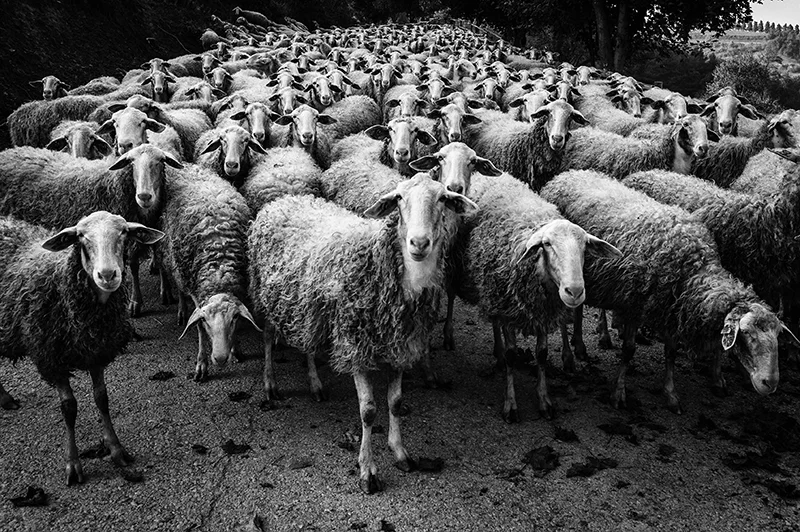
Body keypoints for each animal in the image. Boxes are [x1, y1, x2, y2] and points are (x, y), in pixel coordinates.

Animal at [0, 145, 183, 316]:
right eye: (131, 162)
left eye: (161, 161)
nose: (144, 196)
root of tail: (9, 151)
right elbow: (134, 265)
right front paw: (135, 302)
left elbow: (160, 258)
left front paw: (166, 291)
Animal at [0, 211, 164, 484]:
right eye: (81, 237)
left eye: (123, 232)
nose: (107, 275)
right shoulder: (52, 359)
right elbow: (69, 408)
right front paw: (73, 463)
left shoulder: (95, 352)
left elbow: (102, 398)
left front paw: (116, 449)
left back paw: (5, 398)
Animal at [157, 163, 260, 382]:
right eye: (205, 320)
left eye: (234, 319)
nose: (220, 358)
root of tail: (189, 166)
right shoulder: (197, 293)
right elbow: (199, 332)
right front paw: (201, 364)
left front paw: (236, 350)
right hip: (176, 262)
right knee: (180, 288)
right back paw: (181, 310)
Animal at [247, 175, 477, 493]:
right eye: (399, 198)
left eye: (443, 198)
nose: (419, 243)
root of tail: (283, 200)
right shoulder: (355, 344)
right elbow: (368, 411)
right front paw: (368, 470)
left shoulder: (399, 345)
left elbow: (395, 402)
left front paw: (400, 452)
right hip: (268, 295)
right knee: (269, 337)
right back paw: (270, 384)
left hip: (307, 307)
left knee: (308, 344)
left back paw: (316, 384)